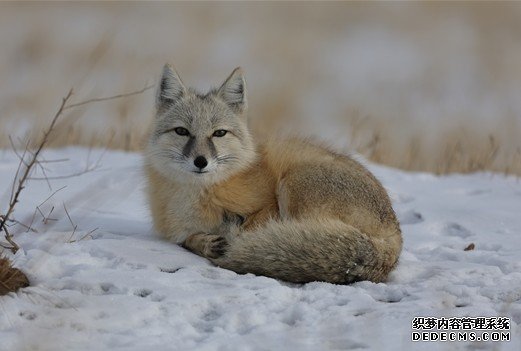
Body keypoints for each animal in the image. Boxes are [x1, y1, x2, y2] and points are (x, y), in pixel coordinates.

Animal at [146, 64, 402, 286]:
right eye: (182, 131)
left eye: (219, 133)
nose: (201, 161)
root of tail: (395, 234)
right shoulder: (178, 231)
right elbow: (188, 239)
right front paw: (205, 241)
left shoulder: (267, 207)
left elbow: (246, 228)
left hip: (294, 185)